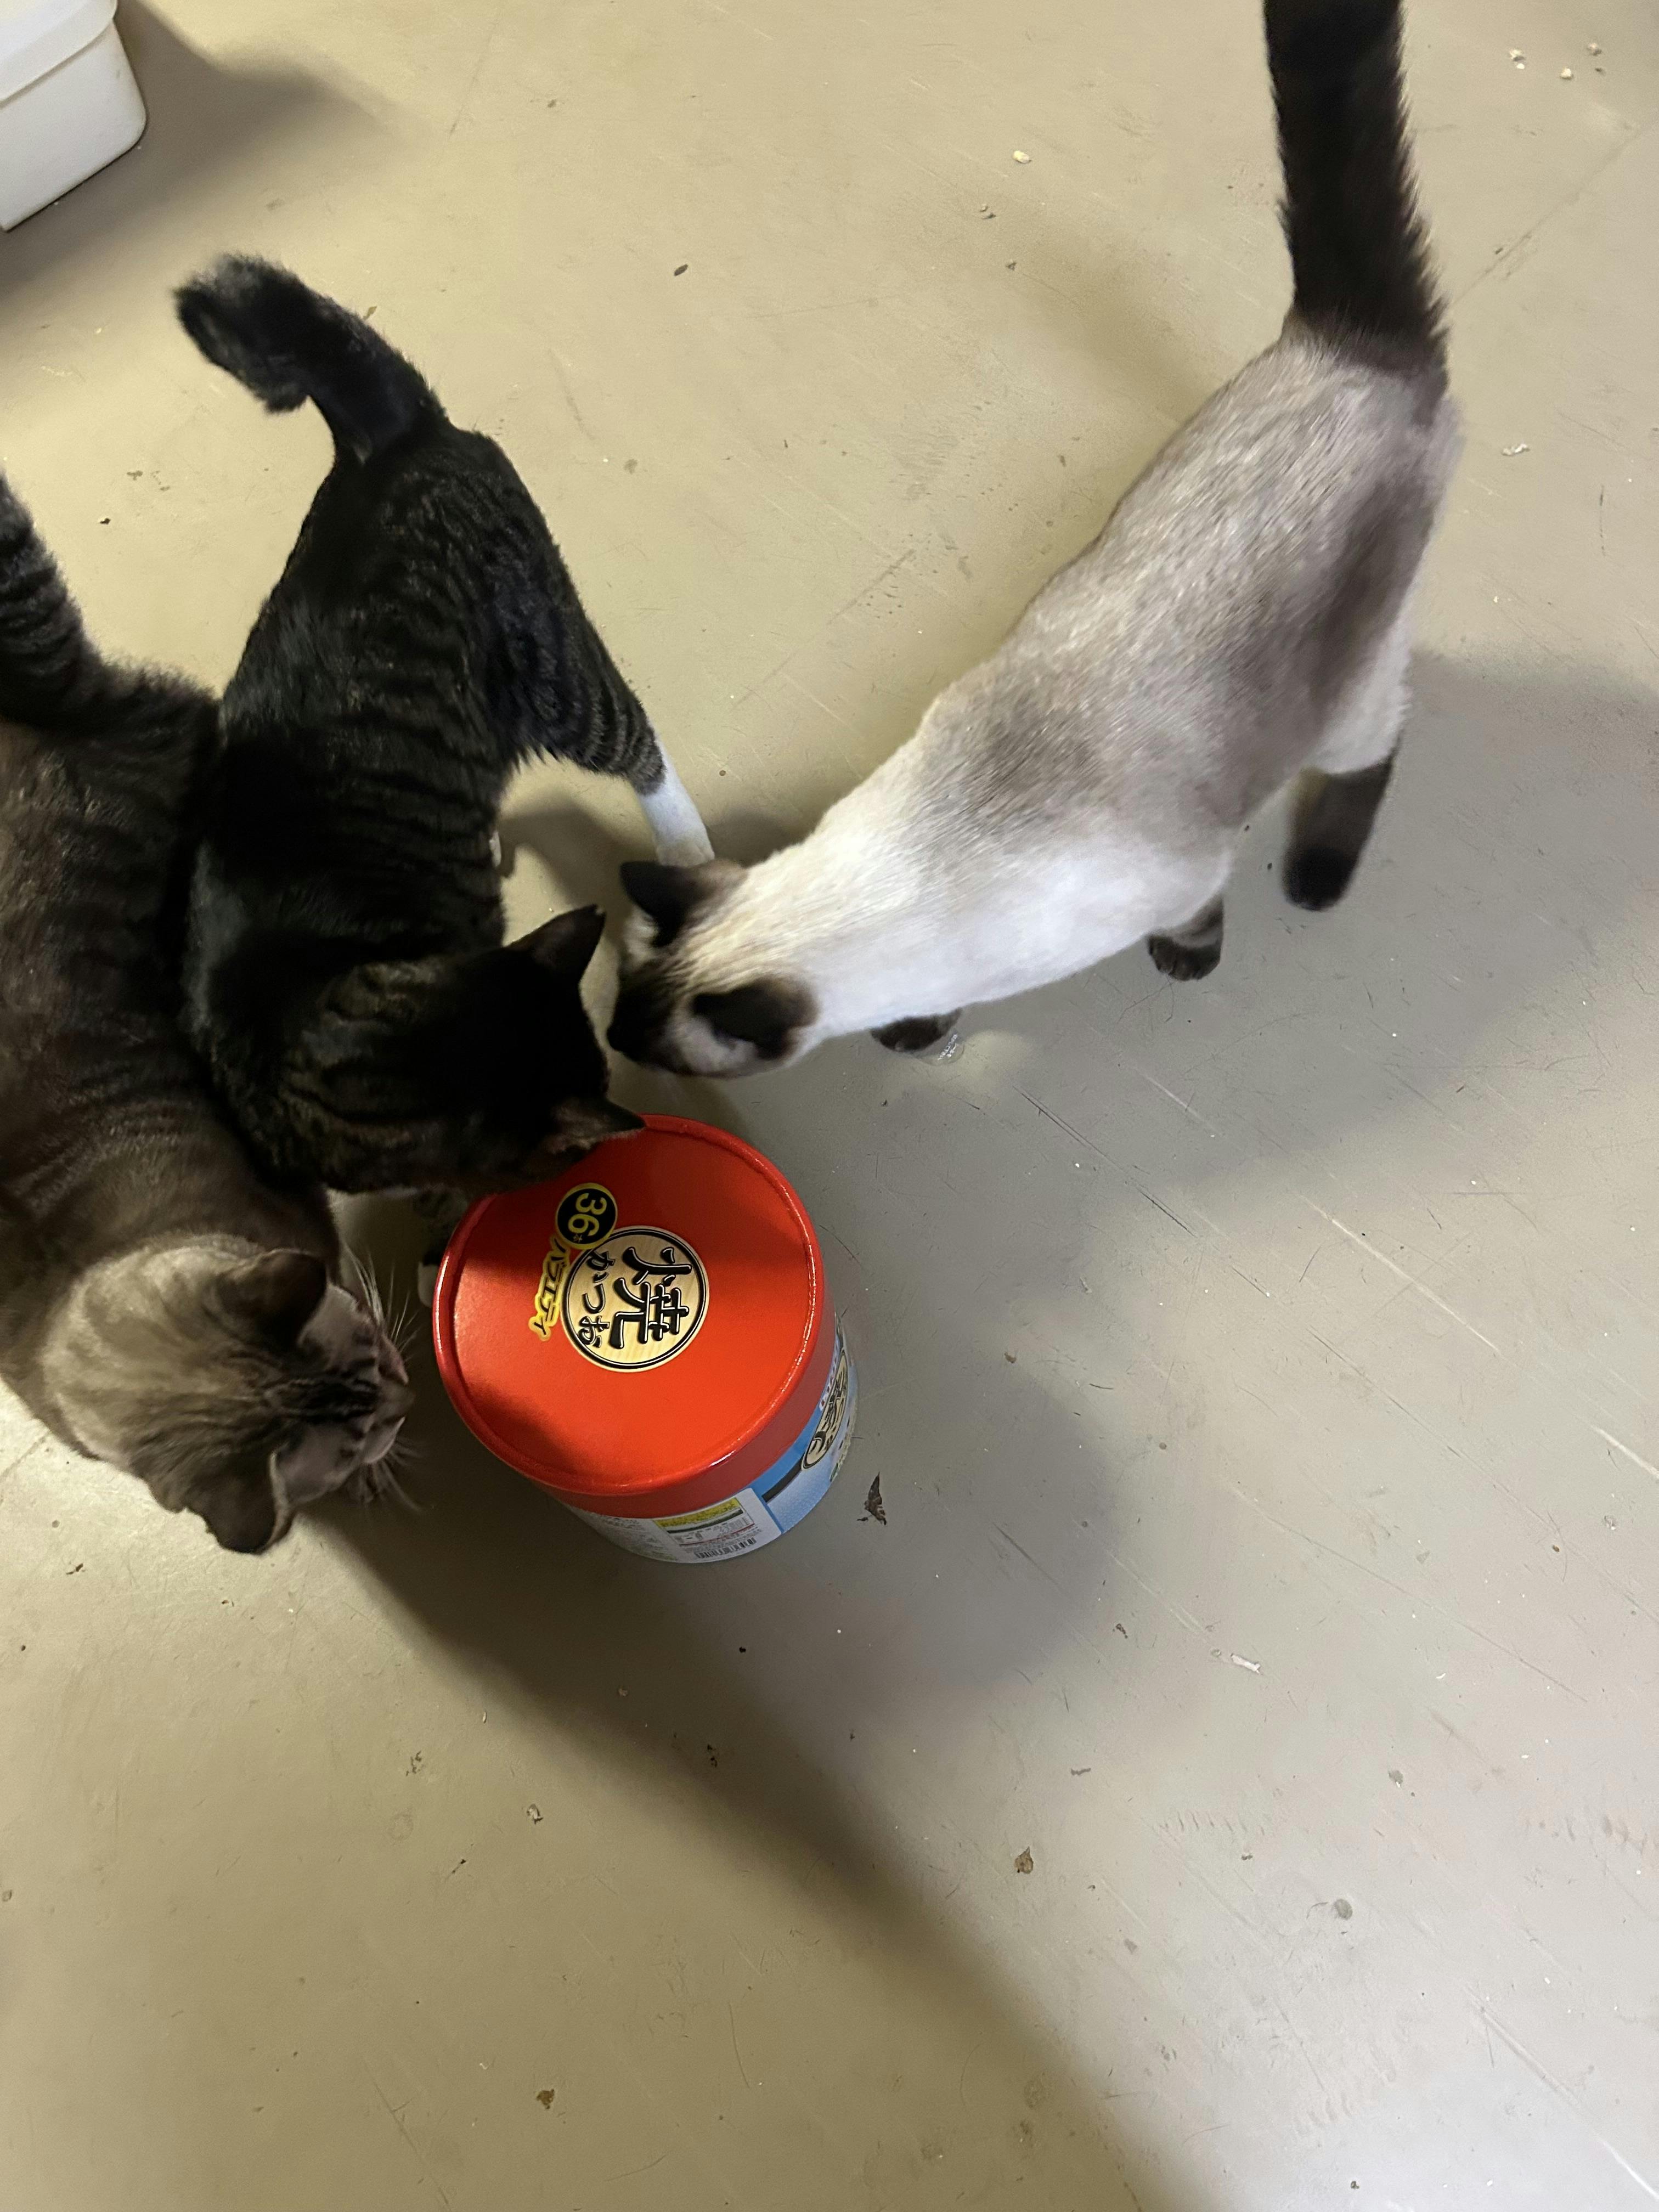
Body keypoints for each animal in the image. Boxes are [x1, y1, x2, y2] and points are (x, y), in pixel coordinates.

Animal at [609, 0, 1460, 1075]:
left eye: (652, 1055)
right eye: (618, 1010)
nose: (607, 1038)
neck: (913, 879)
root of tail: (1344, 345)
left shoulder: (1182, 881)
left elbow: (1196, 919)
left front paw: (1184, 964)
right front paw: (916, 1030)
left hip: (1350, 696)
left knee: (1379, 744)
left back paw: (1318, 876)